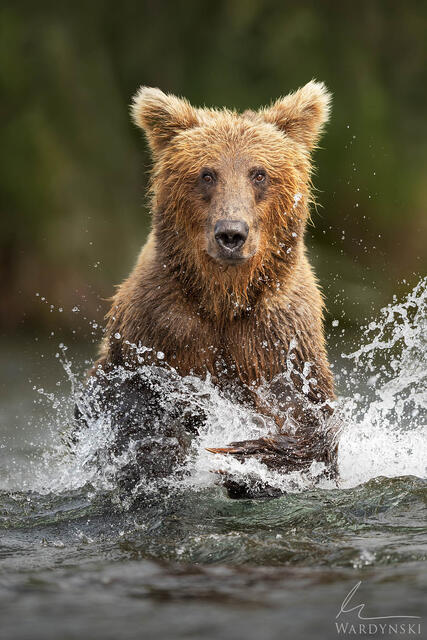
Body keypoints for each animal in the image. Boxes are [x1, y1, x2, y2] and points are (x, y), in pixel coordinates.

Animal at [81, 81, 338, 498]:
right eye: (206, 174)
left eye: (258, 173)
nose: (231, 234)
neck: (224, 299)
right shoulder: (158, 323)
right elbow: (122, 396)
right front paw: (165, 444)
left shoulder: (279, 334)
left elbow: (312, 416)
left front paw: (251, 457)